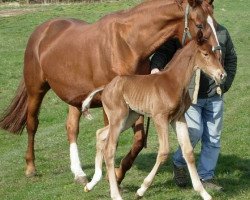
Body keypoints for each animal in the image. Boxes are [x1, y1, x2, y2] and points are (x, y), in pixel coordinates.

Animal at [82, 36, 227, 199]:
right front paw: (141, 190)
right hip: (118, 118)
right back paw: (115, 194)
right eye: (205, 54)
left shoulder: (178, 119)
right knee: (109, 149)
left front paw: (204, 193)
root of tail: (106, 87)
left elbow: (188, 151)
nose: (222, 75)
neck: (174, 82)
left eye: (215, 52)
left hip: (129, 118)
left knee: (100, 133)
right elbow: (164, 152)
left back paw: (91, 184)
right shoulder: (160, 118)